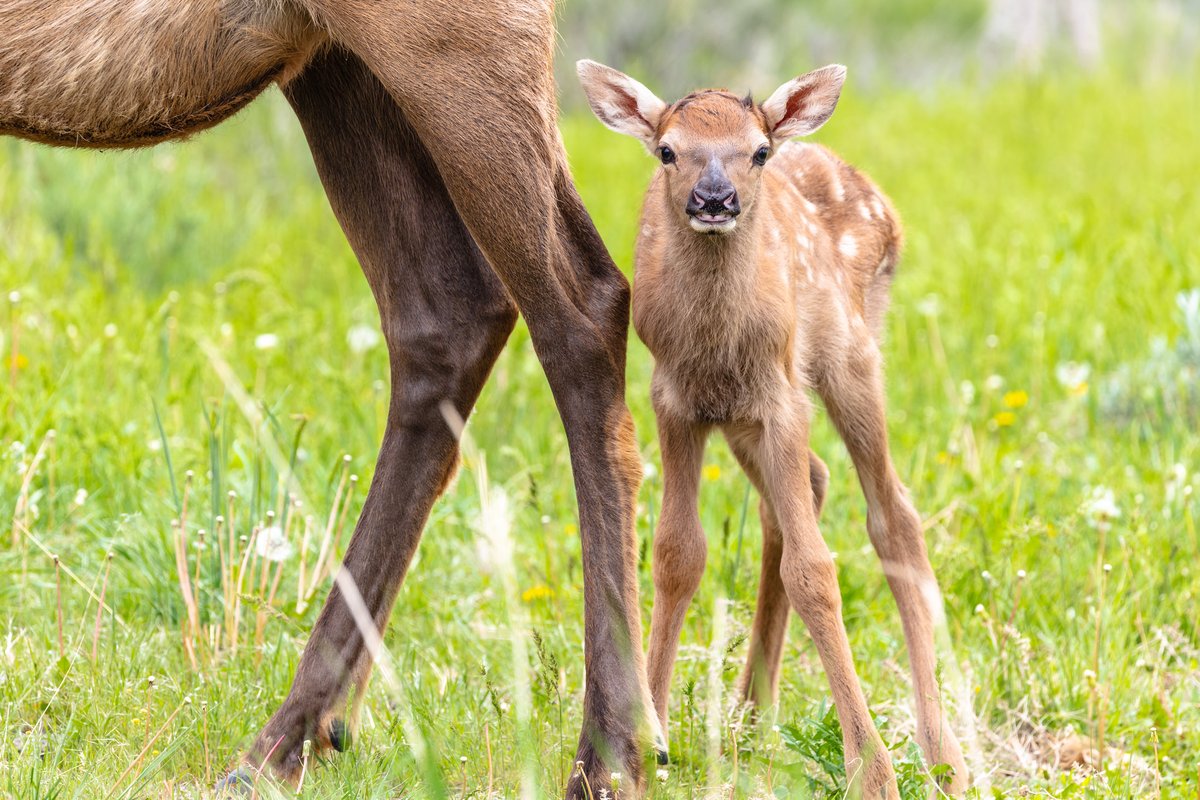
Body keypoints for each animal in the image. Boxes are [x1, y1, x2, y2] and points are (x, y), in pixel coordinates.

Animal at [0, 1, 662, 796]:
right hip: (337, 68)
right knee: (449, 314)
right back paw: (291, 736)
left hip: (452, 45)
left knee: (584, 306)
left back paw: (612, 750)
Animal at [576, 59, 969, 796]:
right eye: (666, 150)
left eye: (757, 151)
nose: (715, 199)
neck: (716, 342)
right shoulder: (676, 400)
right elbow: (677, 553)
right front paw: (652, 740)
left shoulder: (783, 396)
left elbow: (815, 570)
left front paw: (871, 770)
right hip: (744, 421)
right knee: (805, 489)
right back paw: (752, 715)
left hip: (850, 357)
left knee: (893, 513)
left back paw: (942, 755)